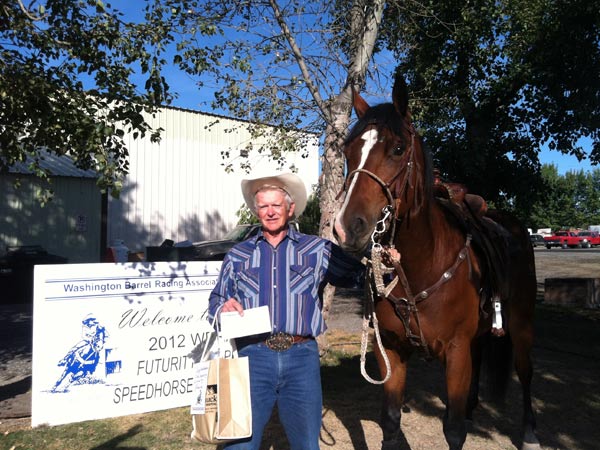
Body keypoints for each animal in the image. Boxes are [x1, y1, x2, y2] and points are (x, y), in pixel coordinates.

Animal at [332, 72, 540, 448]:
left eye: (398, 149)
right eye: (348, 151)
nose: (346, 227)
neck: (421, 265)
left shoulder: (455, 353)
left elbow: (453, 429)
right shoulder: (392, 351)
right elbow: (390, 420)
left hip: (521, 323)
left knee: (525, 371)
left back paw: (530, 431)